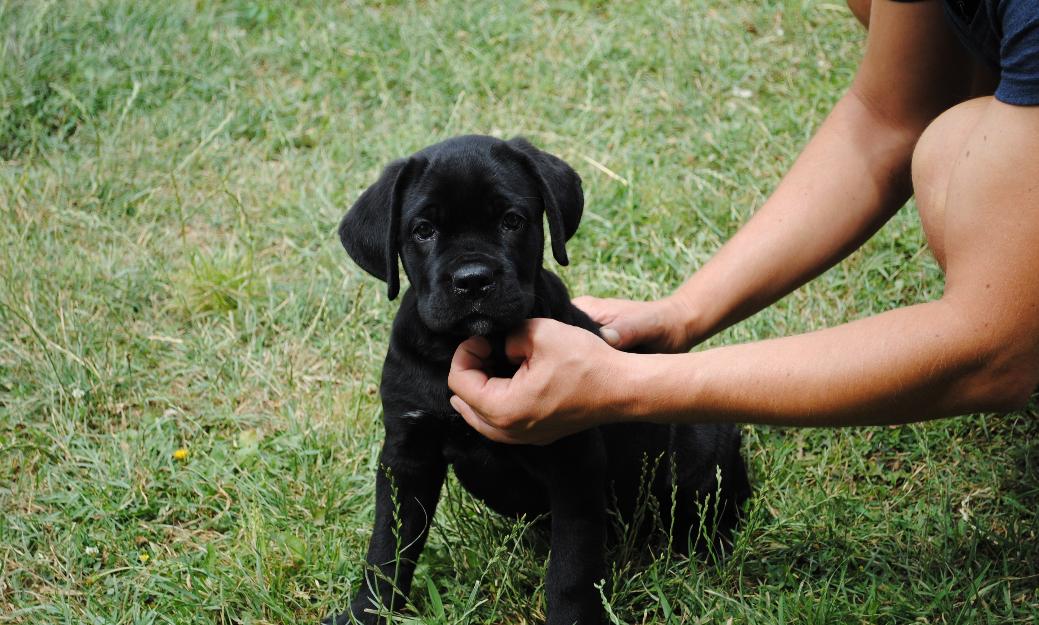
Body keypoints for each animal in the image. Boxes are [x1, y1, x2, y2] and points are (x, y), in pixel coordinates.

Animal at [330, 136, 748, 622]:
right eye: (423, 230)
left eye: (512, 221)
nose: (473, 280)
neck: (474, 347)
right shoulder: (407, 454)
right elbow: (388, 546)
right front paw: (366, 611)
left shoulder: (574, 461)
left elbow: (571, 566)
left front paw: (572, 618)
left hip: (700, 449)